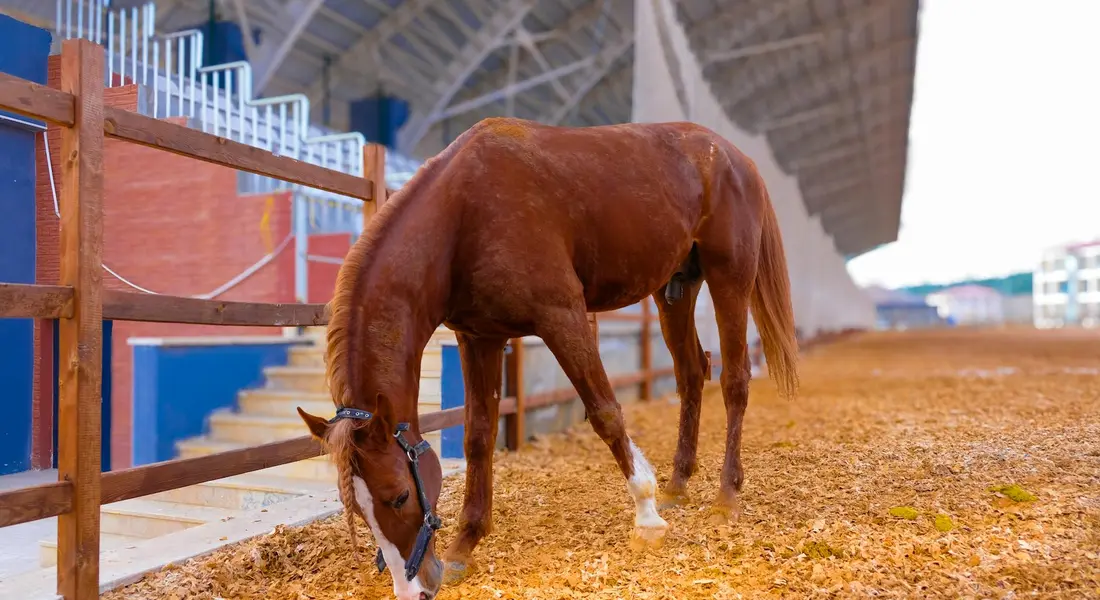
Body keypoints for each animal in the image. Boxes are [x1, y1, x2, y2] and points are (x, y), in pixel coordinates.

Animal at [296, 116, 799, 600]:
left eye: (399, 495)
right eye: (359, 511)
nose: (413, 589)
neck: (463, 215)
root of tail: (736, 158)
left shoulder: (563, 316)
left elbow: (605, 413)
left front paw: (646, 516)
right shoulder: (479, 337)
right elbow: (478, 437)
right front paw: (465, 545)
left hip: (729, 275)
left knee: (735, 379)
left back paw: (726, 496)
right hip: (675, 289)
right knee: (692, 373)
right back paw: (678, 483)